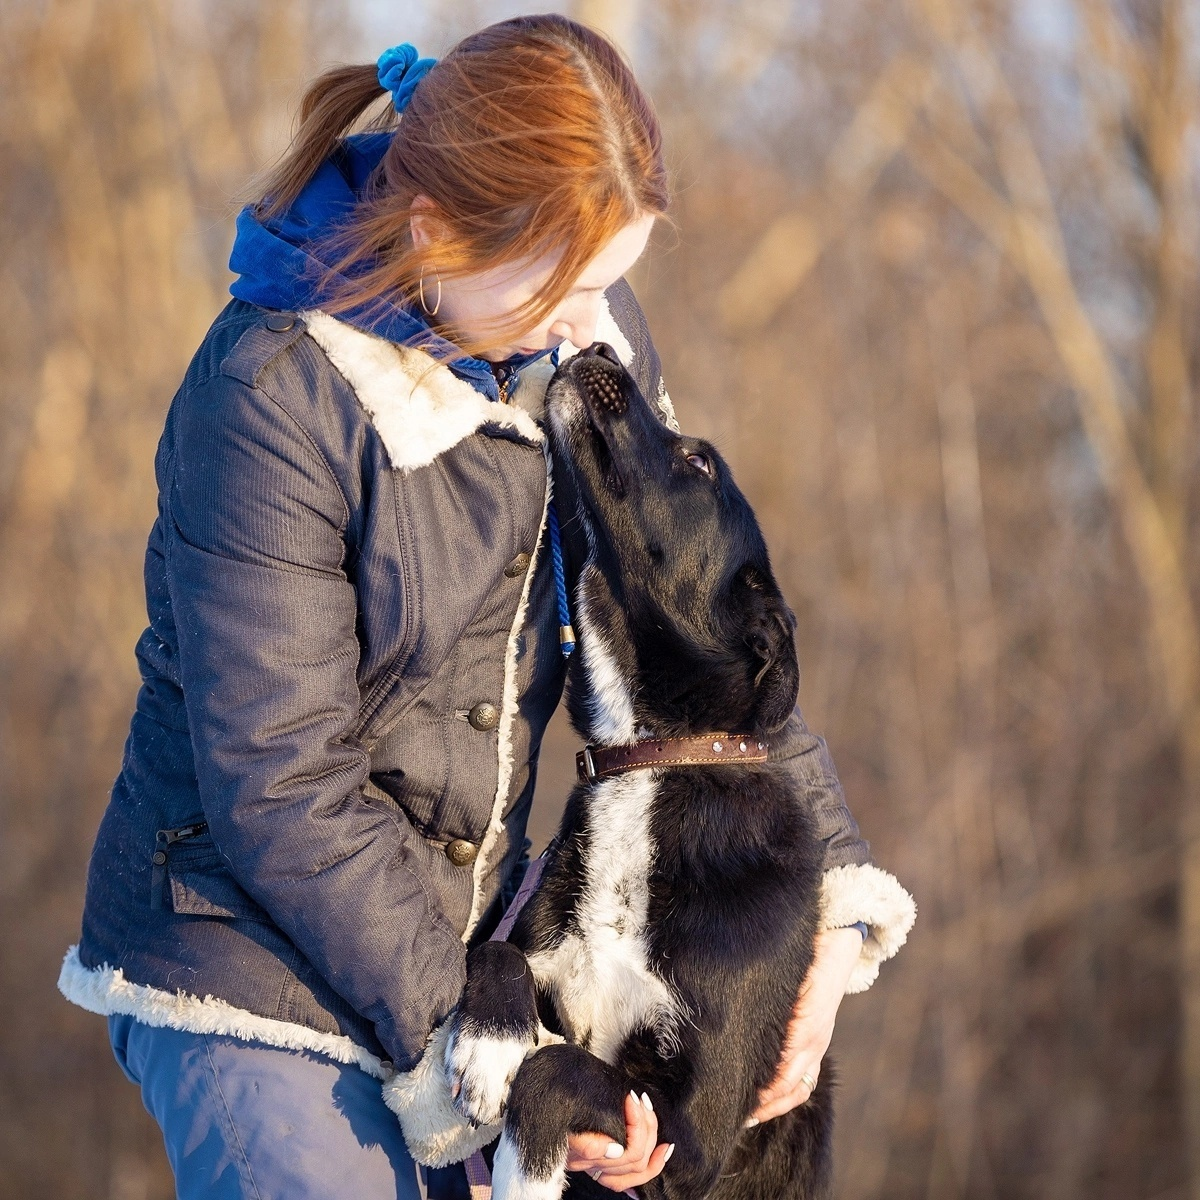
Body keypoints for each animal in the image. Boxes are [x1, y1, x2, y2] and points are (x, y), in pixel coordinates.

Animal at [432, 343, 835, 1195]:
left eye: (699, 461)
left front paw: (521, 1166)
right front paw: (490, 1043)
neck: (652, 756)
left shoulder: (687, 1143)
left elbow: (555, 1075)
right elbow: (495, 951)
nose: (596, 348)